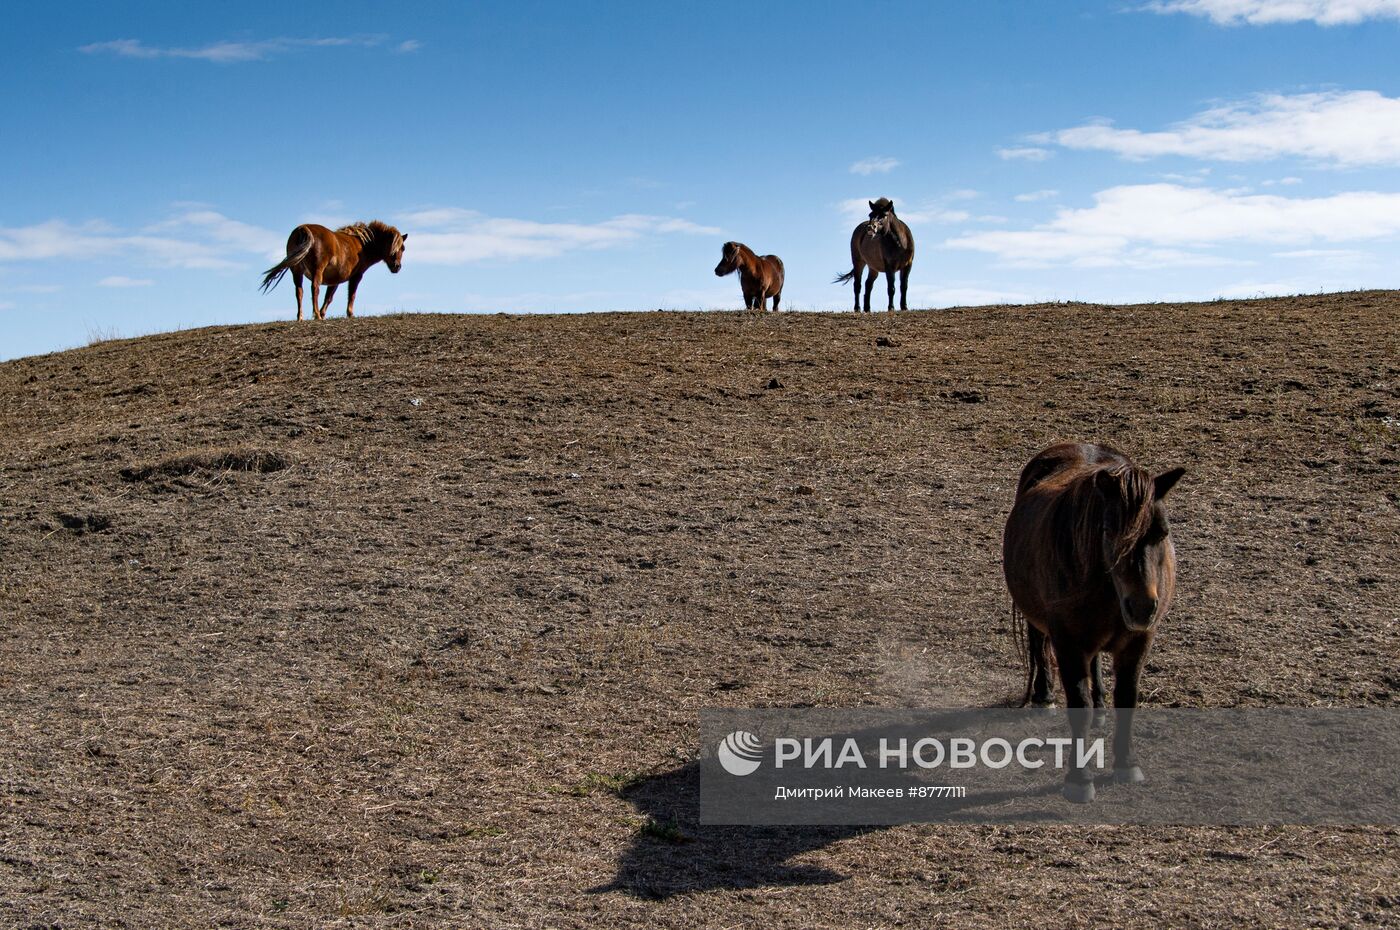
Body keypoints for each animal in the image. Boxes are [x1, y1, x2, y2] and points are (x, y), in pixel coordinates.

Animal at [259, 221, 406, 319]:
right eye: (397, 248)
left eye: (403, 248)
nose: (397, 267)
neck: (363, 244)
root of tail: (303, 228)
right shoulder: (356, 276)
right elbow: (352, 294)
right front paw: (350, 314)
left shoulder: (335, 280)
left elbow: (329, 298)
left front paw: (323, 314)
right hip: (317, 270)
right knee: (315, 288)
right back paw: (316, 315)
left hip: (297, 272)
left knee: (299, 292)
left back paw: (301, 317)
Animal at [1002, 442, 1187, 801]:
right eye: (1108, 530)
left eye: (1162, 532)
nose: (1142, 607)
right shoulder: (1069, 644)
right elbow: (1079, 705)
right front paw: (1079, 779)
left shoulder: (1138, 642)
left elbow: (1126, 698)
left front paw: (1127, 764)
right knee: (1038, 643)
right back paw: (1044, 696)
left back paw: (1101, 703)